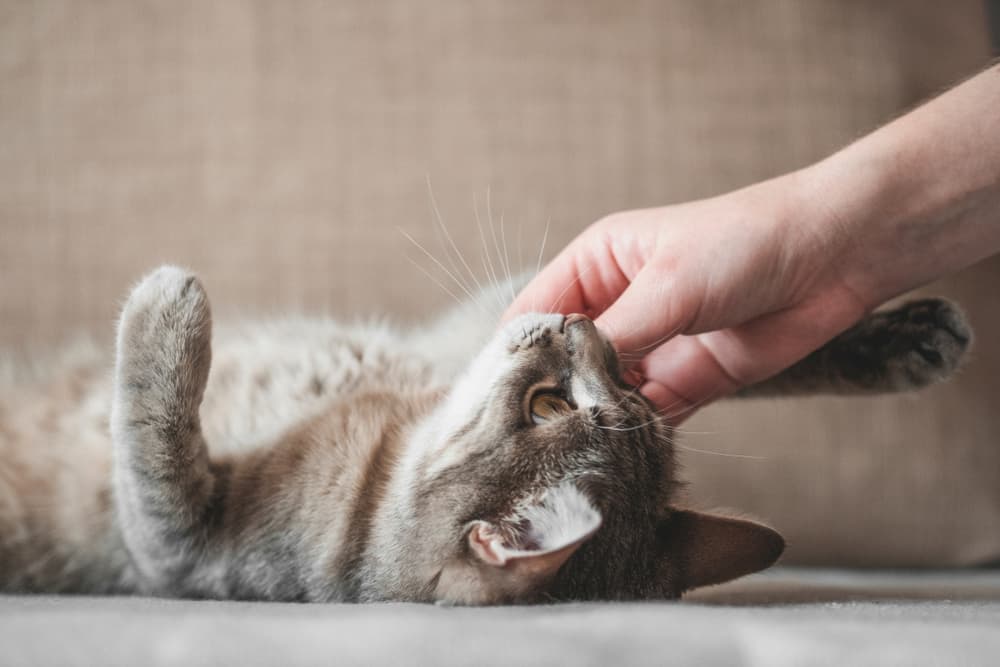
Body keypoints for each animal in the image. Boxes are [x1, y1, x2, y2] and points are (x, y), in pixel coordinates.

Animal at [0, 266, 968, 604]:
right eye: (550, 403)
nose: (581, 321)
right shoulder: (458, 331)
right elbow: (739, 344)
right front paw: (899, 339)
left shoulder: (174, 549)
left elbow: (150, 441)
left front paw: (168, 306)